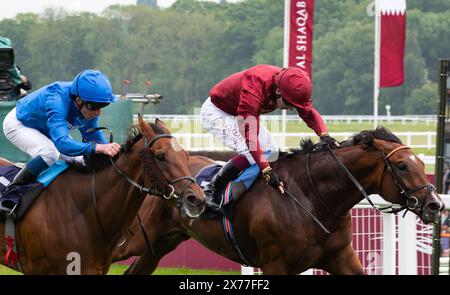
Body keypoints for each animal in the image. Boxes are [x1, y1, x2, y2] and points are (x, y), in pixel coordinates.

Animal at [111, 128, 442, 276]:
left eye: (417, 162)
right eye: (402, 166)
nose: (436, 205)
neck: (312, 198)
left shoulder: (341, 256)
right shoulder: (276, 265)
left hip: (160, 243)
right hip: (134, 239)